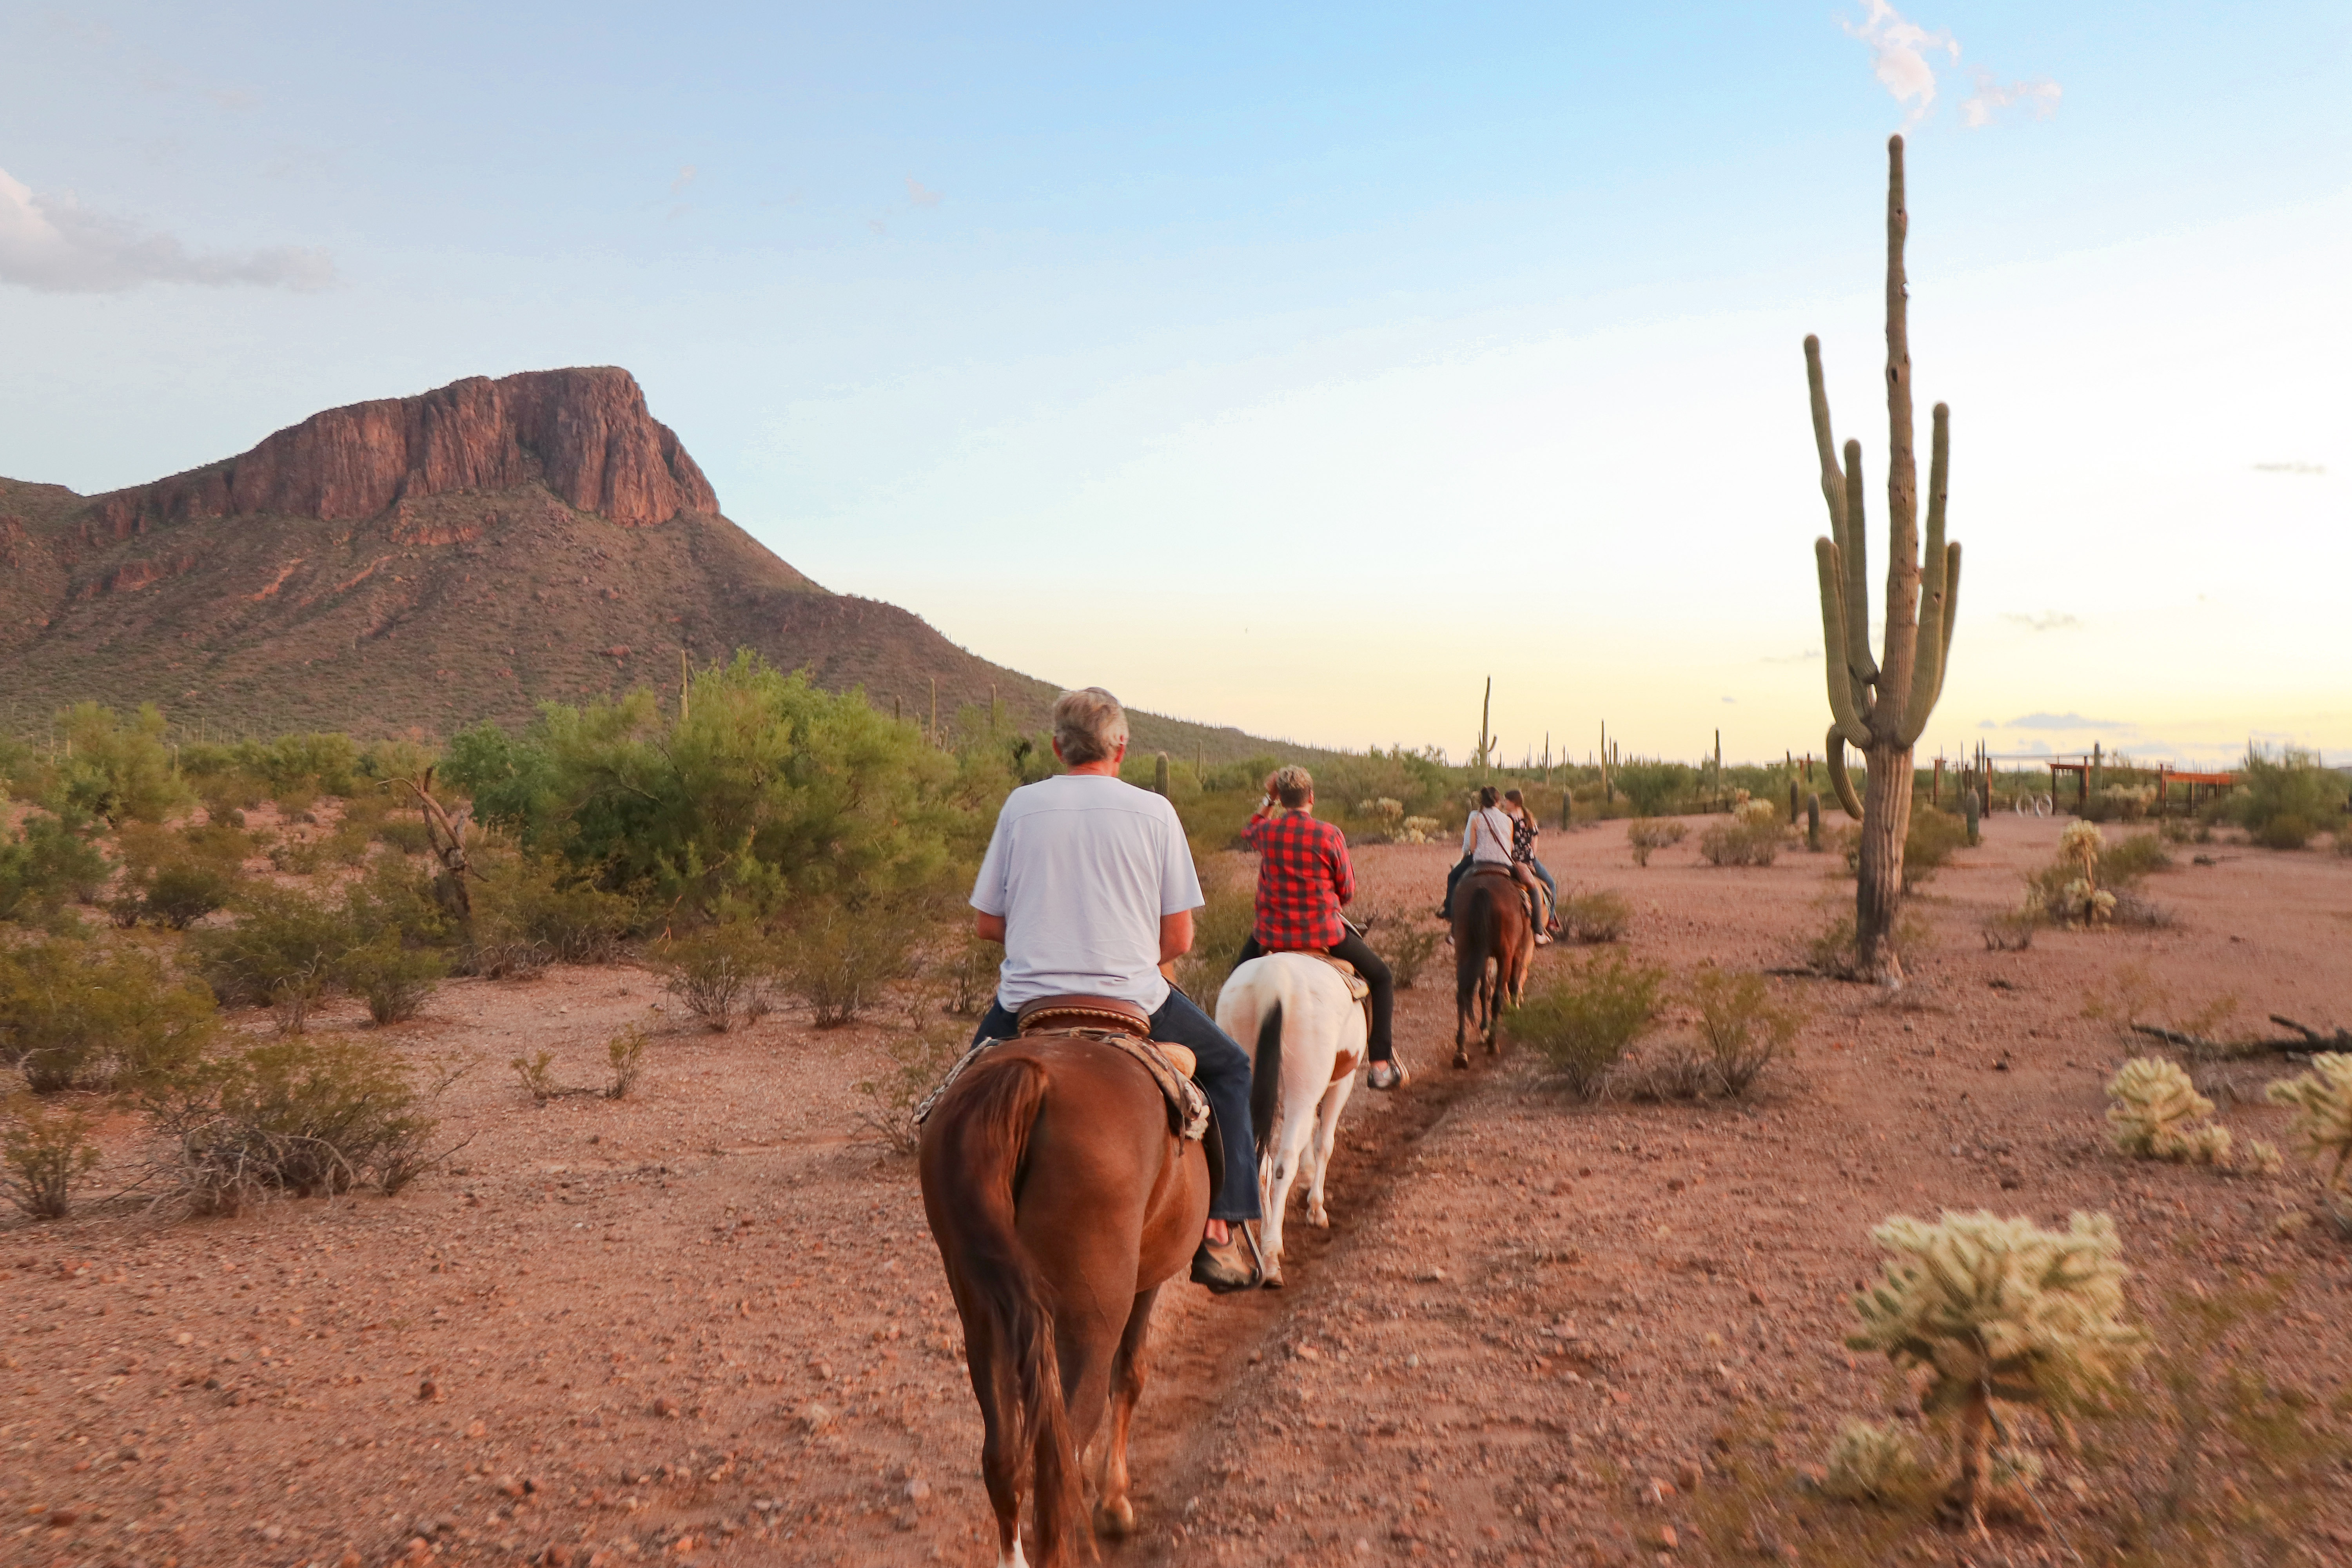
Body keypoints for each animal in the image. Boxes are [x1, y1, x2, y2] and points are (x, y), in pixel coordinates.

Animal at [917, 1029, 1214, 1568]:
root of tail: (1029, 1077)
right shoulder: (1146, 1284)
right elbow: (1131, 1374)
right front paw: (1115, 1504)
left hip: (984, 1316)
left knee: (1004, 1457)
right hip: (1088, 1325)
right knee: (1061, 1458)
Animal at [1214, 949, 1364, 1298]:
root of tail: (1273, 983)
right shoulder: (1342, 1082)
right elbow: (1324, 1143)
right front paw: (1316, 1209)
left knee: (1260, 1163)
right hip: (1305, 1086)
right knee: (1283, 1165)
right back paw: (1271, 1259)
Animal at [1449, 865, 1543, 1072]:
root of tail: (1482, 889)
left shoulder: (1483, 955)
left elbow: (1484, 990)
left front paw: (1483, 1028)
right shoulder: (1521, 948)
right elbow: (1513, 982)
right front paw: (1515, 1011)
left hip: (1464, 950)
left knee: (1463, 995)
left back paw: (1461, 1052)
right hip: (1505, 954)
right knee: (1499, 994)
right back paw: (1493, 1043)